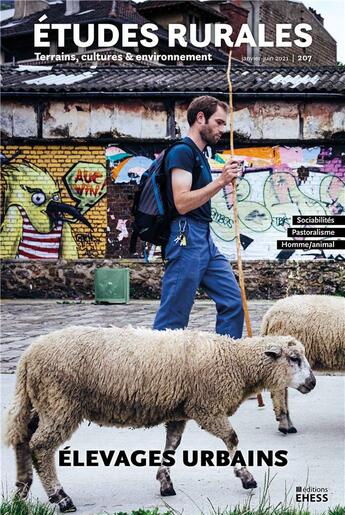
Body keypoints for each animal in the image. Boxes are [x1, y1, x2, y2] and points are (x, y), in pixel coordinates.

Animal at [4, 326, 314, 512]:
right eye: (294, 358)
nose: (311, 383)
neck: (234, 361)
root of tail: (28, 356)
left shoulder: (180, 412)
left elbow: (171, 447)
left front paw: (165, 483)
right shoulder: (207, 407)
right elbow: (231, 439)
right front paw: (246, 478)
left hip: (41, 402)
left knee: (22, 440)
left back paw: (22, 490)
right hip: (60, 402)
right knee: (40, 447)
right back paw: (61, 497)